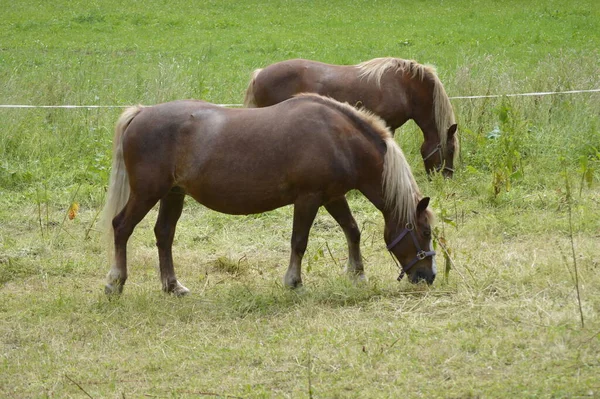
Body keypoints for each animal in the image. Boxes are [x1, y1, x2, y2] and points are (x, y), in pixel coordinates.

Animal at [99, 93, 436, 294]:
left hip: (173, 194)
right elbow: (299, 241)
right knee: (121, 227)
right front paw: (294, 282)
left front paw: (357, 274)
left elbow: (352, 231)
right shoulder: (309, 198)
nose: (428, 276)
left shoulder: (332, 197)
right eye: (425, 232)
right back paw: (115, 282)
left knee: (164, 234)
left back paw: (172, 286)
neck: (338, 138)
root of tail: (141, 113)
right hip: (147, 193)